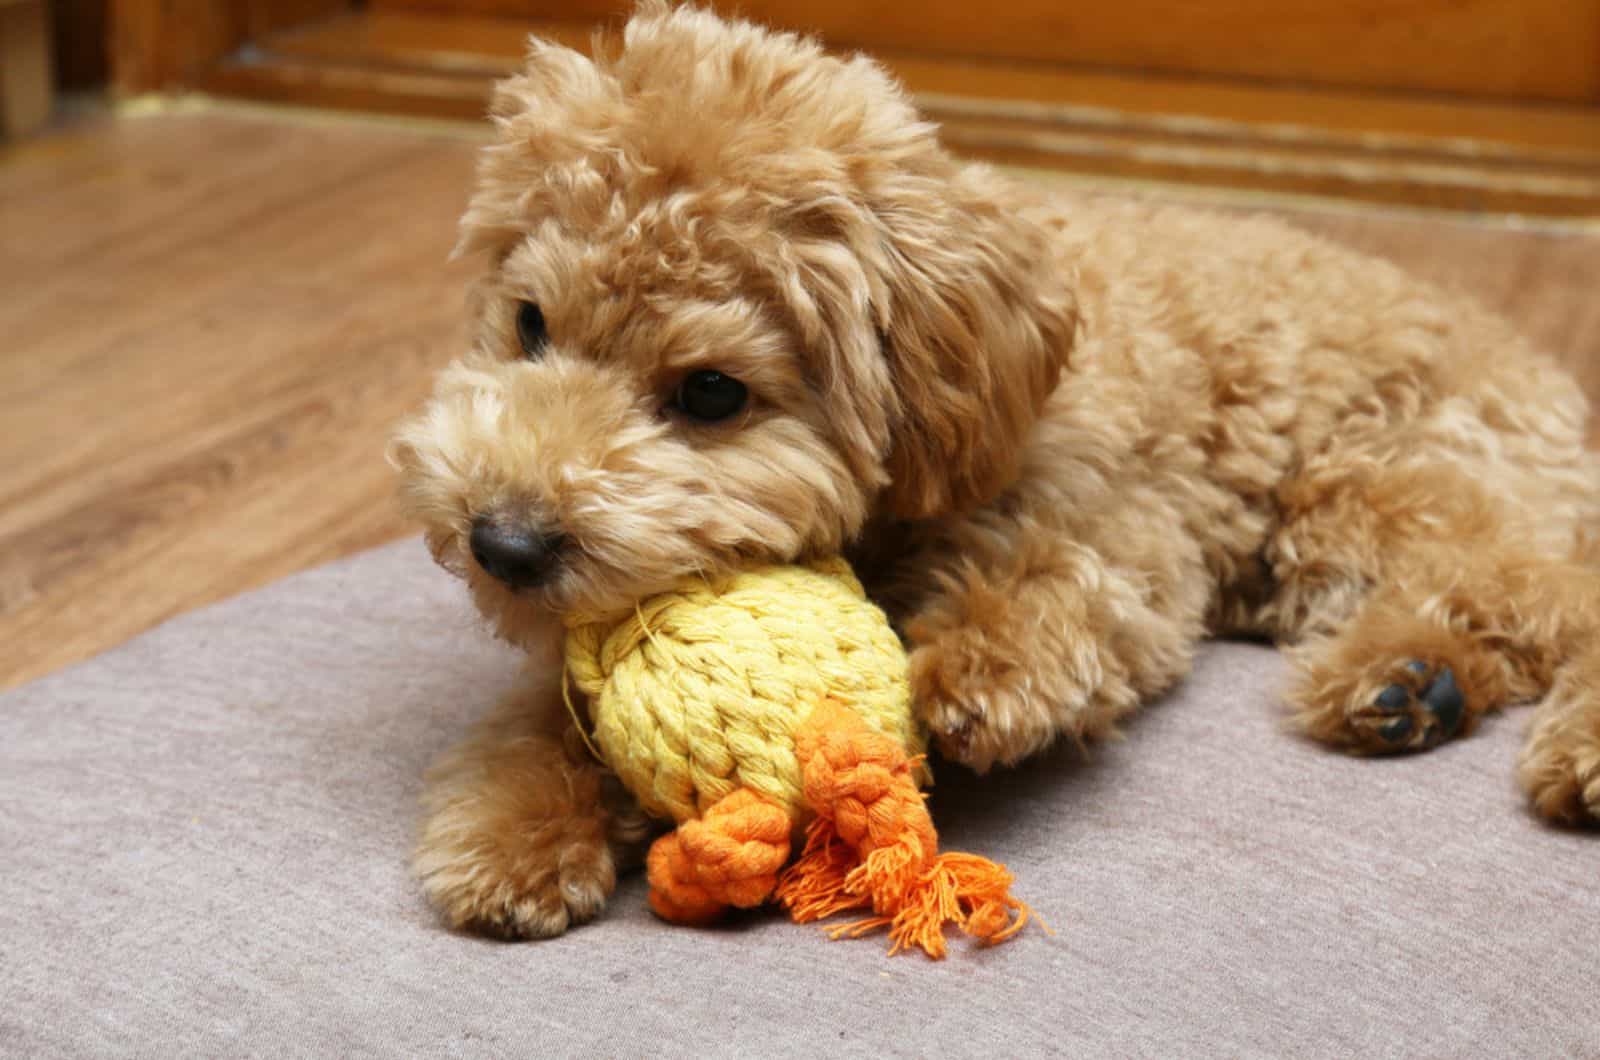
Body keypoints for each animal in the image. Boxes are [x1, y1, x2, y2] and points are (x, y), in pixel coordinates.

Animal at [390, 6, 1600, 941]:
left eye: (712, 394)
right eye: (529, 323)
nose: (502, 544)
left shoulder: (1124, 527)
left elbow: (1059, 585)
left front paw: (981, 670)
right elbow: (541, 718)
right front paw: (512, 830)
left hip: (1365, 482)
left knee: (1538, 589)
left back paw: (1502, 719)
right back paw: (1410, 687)